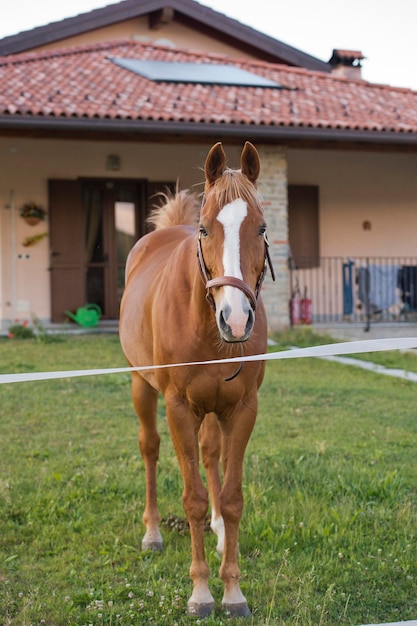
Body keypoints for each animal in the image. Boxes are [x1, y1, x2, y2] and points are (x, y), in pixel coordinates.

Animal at [118, 140, 272, 616]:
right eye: (204, 230)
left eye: (261, 229)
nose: (236, 320)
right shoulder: (179, 408)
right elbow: (193, 500)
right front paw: (202, 593)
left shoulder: (242, 409)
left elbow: (232, 497)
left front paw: (234, 591)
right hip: (142, 387)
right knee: (150, 448)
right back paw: (152, 533)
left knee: (209, 455)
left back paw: (219, 532)